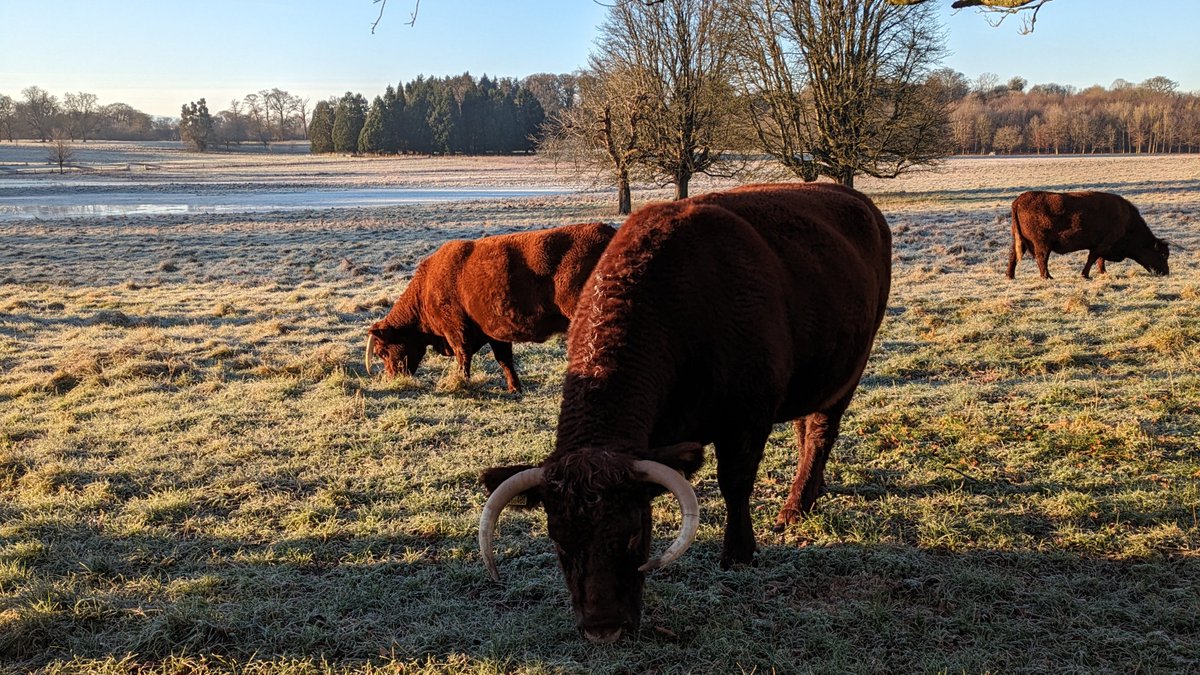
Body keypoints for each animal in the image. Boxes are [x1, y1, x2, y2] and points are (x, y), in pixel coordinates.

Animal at [364, 222, 616, 393]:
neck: (426, 288)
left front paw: (461, 383)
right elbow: (505, 360)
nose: (392, 379)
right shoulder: (496, 333)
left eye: (383, 351)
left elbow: (463, 357)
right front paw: (515, 388)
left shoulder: (457, 332)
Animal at [478, 183, 892, 644]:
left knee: (820, 432)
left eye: (633, 534)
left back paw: (794, 506)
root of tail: (858, 200)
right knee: (807, 430)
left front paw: (738, 553)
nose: (603, 628)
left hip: (849, 371)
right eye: (558, 541)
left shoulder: (746, 421)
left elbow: (735, 484)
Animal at [1007, 190, 1170, 280]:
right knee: (1042, 258)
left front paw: (1102, 272)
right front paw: (1085, 274)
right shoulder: (1104, 244)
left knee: (1013, 256)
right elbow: (1093, 258)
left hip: (1019, 241)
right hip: (1042, 244)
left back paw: (1010, 276)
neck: (1127, 220)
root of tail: (1019, 200)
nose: (1166, 273)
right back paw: (1047, 277)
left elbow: (1099, 259)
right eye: (1162, 255)